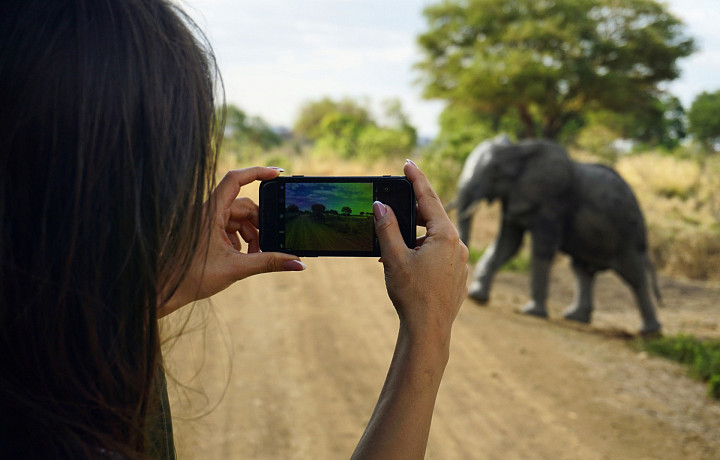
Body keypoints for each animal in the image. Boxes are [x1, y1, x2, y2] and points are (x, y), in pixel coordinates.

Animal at [450, 137, 664, 334]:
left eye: (495, 172)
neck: (519, 149)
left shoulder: (552, 202)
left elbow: (542, 248)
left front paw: (531, 312)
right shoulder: (515, 197)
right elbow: (508, 243)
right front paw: (478, 297)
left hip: (628, 234)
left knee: (634, 275)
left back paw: (649, 332)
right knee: (582, 270)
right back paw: (575, 317)